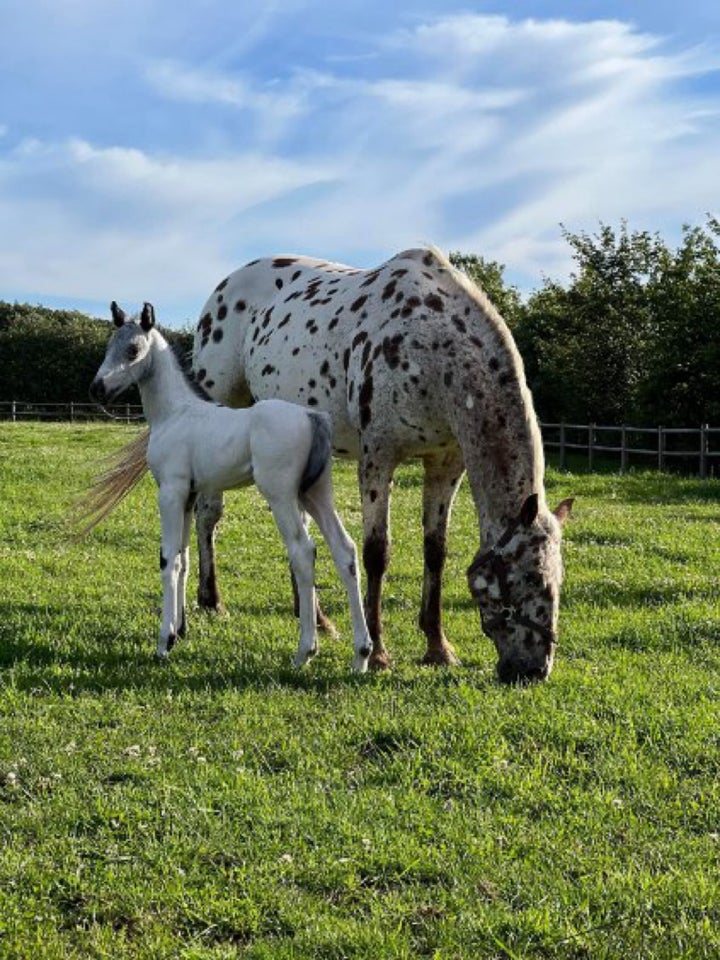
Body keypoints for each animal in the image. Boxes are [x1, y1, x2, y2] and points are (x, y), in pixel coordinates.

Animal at [93, 248, 572, 684]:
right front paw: (378, 652)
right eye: (524, 582)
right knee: (210, 515)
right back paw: (212, 600)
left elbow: (435, 551)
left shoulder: (446, 463)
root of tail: (225, 287)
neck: (430, 343)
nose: (532, 671)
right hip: (223, 410)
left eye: (554, 582)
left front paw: (437, 646)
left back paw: (316, 620)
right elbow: (377, 551)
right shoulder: (378, 456)